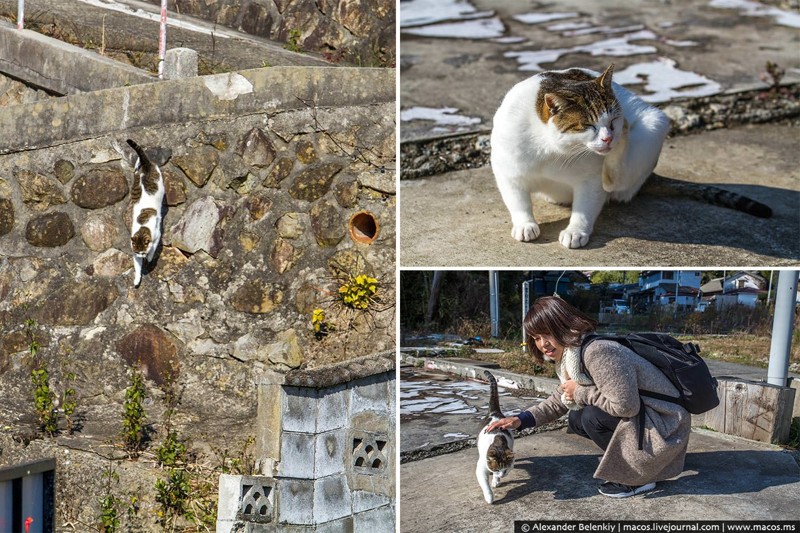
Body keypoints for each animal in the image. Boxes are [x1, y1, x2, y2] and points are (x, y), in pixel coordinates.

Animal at [126, 138, 165, 286]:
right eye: (138, 252)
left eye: (143, 252)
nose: (142, 256)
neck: (143, 227)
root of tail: (146, 165)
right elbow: (137, 267)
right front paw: (137, 278)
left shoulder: (158, 235)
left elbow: (153, 247)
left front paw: (149, 257)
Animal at [478, 370, 516, 502]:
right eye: (498, 468)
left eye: (506, 469)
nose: (503, 474)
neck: (498, 442)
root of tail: (494, 412)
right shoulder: (481, 468)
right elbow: (485, 484)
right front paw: (489, 497)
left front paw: (496, 480)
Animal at [490, 65, 772, 249]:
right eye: (588, 125)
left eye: (611, 120)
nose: (609, 137)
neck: (554, 150)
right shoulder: (508, 170)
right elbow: (518, 200)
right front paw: (525, 223)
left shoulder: (590, 180)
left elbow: (586, 206)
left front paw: (576, 230)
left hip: (653, 126)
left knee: (616, 179)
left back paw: (621, 146)